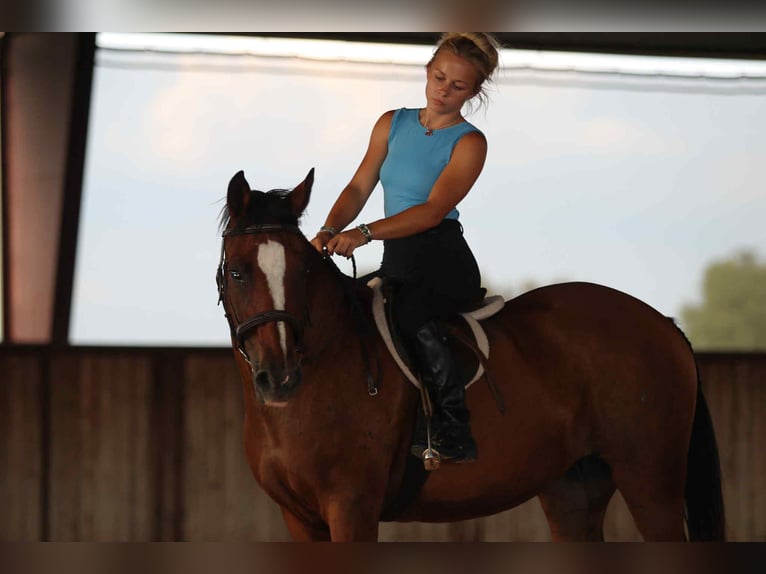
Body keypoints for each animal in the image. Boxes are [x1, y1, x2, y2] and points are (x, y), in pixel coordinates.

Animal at [216, 168, 725, 541]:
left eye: (304, 271)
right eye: (237, 272)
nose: (279, 377)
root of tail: (662, 323)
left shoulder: (352, 507)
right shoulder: (300, 519)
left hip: (651, 485)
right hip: (573, 491)